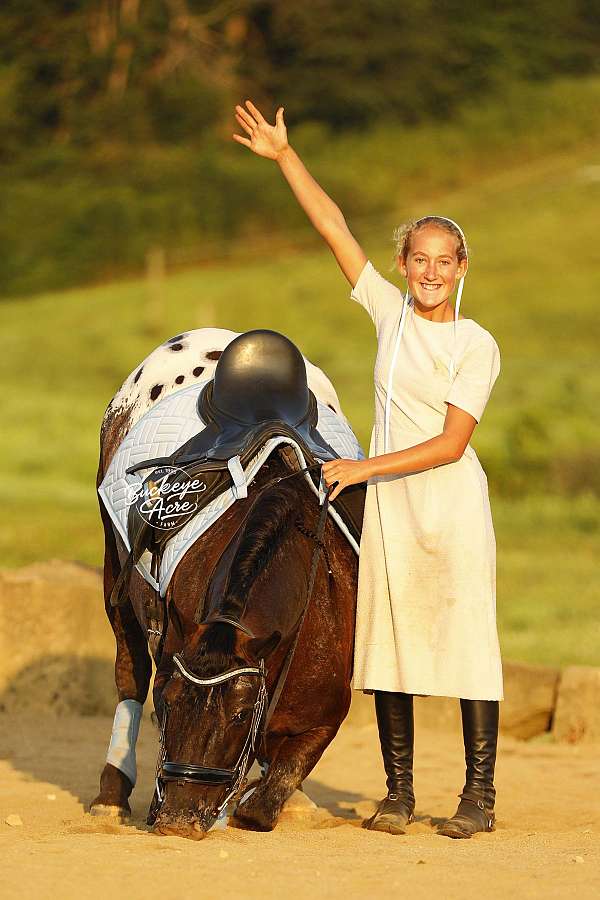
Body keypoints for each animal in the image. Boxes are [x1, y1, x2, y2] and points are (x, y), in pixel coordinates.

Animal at [90, 328, 363, 839]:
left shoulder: (323, 717)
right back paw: (110, 796)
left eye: (239, 715)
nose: (177, 820)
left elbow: (269, 795)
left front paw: (284, 799)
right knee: (128, 674)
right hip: (114, 577)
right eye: (168, 706)